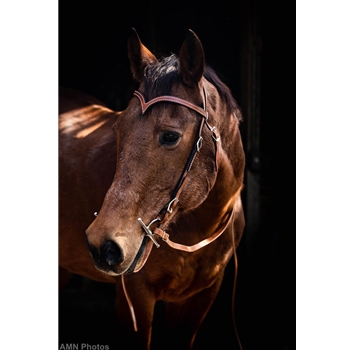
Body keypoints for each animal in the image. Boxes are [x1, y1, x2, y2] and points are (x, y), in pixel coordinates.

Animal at [59, 28, 246, 350]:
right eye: (118, 129)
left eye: (170, 136)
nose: (102, 245)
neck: (196, 230)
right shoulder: (134, 296)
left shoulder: (200, 298)